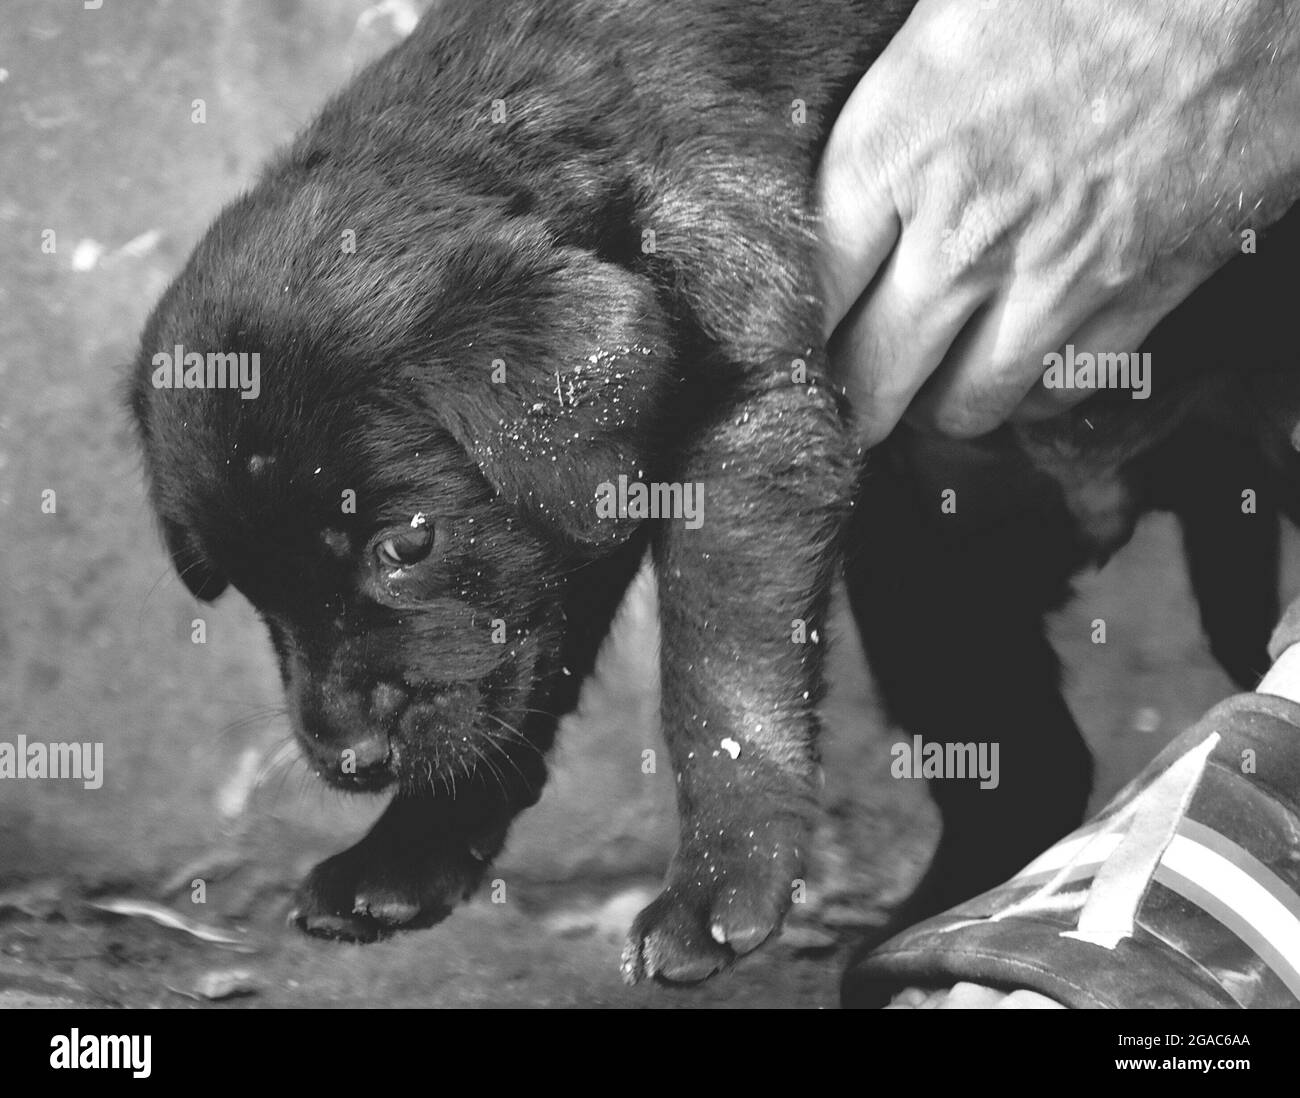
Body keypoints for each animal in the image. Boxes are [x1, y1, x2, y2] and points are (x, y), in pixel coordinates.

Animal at [129, 0, 1289, 987]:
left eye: (404, 544)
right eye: (244, 588)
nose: (351, 761)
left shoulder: (745, 421)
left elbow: (716, 678)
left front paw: (721, 881)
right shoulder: (583, 512)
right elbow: (514, 680)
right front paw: (405, 853)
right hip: (926, 578)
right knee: (1031, 762)